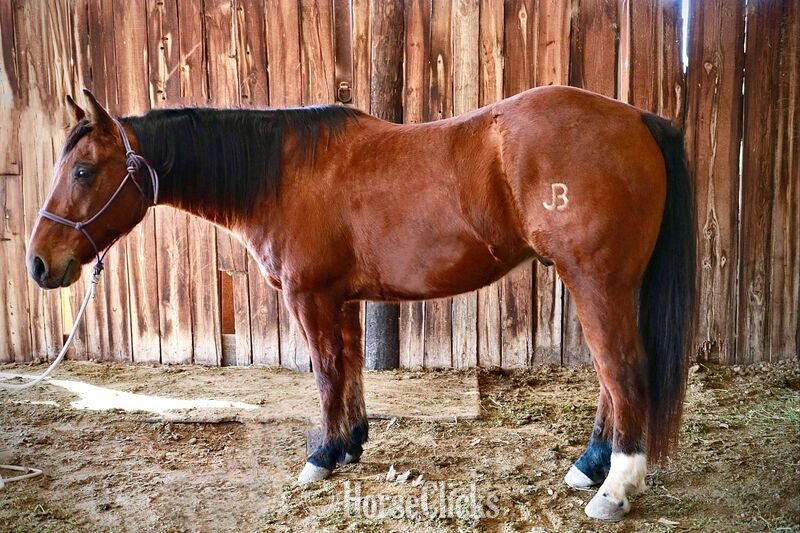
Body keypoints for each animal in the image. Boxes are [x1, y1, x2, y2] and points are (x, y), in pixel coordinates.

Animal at [26, 86, 694, 521]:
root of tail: (637, 117)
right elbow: (347, 370)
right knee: (611, 382)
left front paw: (320, 458)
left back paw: (613, 489)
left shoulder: (310, 296)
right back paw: (590, 466)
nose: (38, 263)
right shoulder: (340, 299)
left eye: (84, 170)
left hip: (597, 283)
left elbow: (325, 373)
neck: (282, 174)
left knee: (623, 374)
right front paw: (349, 445)